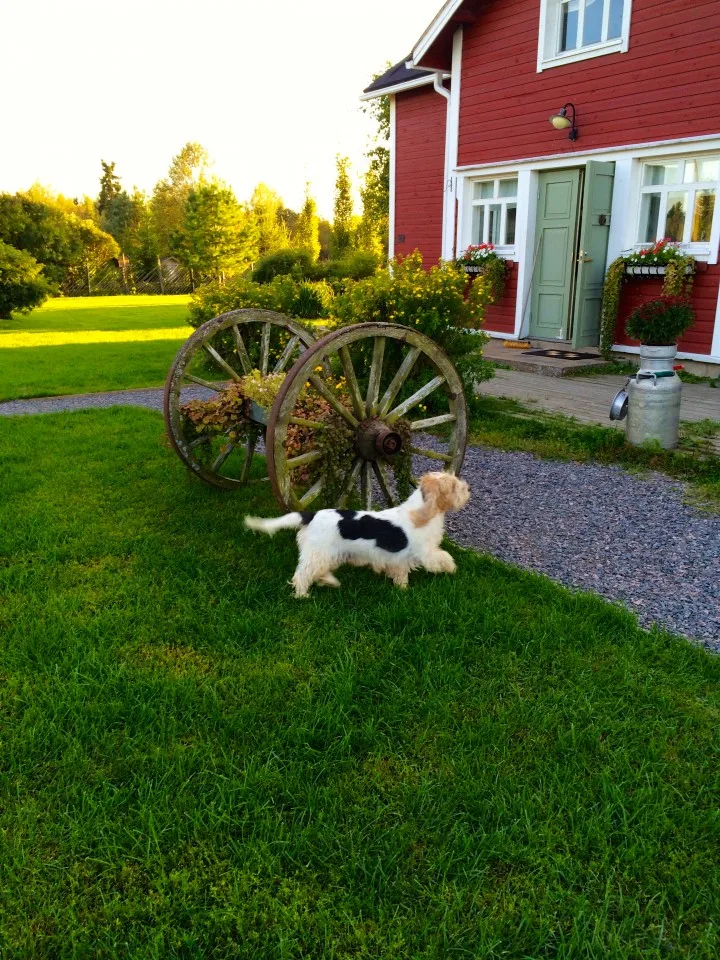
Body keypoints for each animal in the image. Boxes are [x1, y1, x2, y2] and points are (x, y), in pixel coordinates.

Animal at [245, 470, 470, 596]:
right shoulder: (426, 553)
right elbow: (444, 557)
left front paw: (402, 589)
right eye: (453, 486)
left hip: (327, 555)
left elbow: (400, 574)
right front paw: (452, 569)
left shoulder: (397, 559)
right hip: (318, 553)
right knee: (302, 574)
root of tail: (311, 515)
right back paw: (302, 595)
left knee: (318, 571)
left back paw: (330, 582)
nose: (467, 489)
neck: (422, 511)